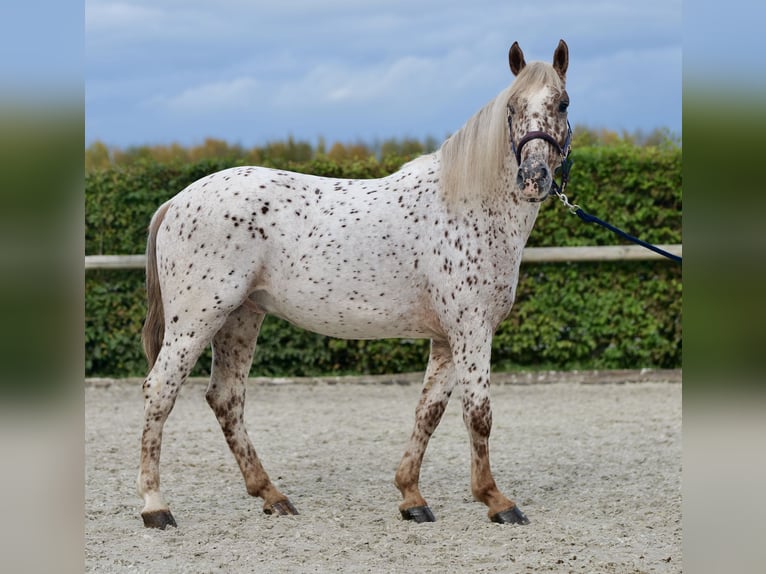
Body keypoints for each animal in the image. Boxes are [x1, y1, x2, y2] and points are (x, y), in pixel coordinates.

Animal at [138, 40, 572, 532]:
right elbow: (478, 414)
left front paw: (411, 497)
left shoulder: (447, 338)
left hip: (240, 319)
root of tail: (177, 202)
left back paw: (272, 496)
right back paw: (155, 506)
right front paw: (496, 501)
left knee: (226, 398)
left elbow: (429, 412)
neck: (468, 206)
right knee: (161, 390)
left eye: (562, 103)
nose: (533, 178)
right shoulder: (472, 330)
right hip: (196, 320)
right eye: (512, 108)